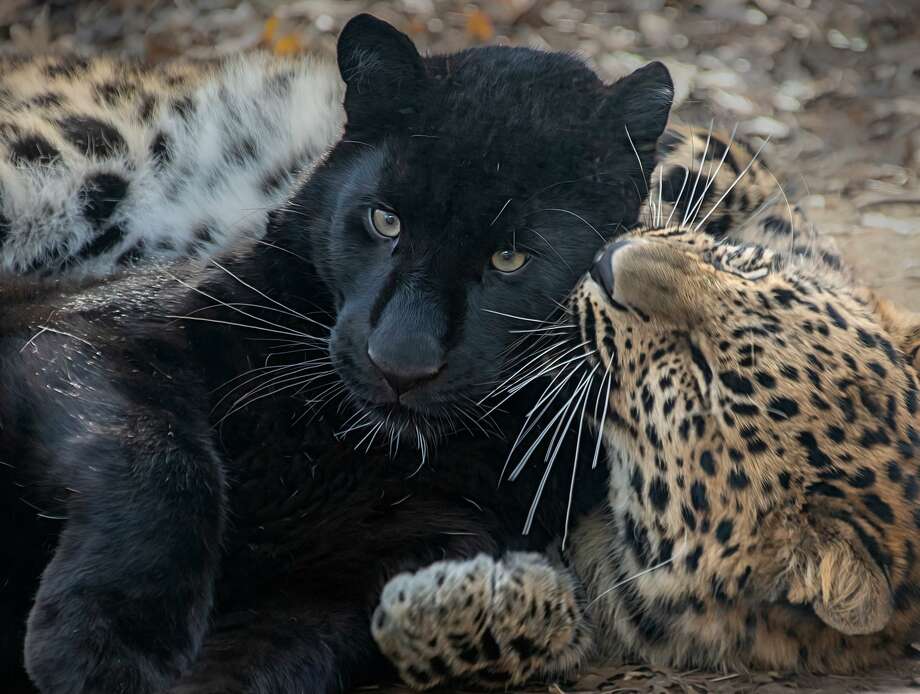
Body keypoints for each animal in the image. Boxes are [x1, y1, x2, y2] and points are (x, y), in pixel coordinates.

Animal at [3, 16, 672, 694]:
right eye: (384, 221)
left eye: (510, 258)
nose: (399, 362)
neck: (342, 445)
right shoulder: (90, 336)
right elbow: (161, 459)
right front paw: (106, 647)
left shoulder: (372, 572)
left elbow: (272, 662)